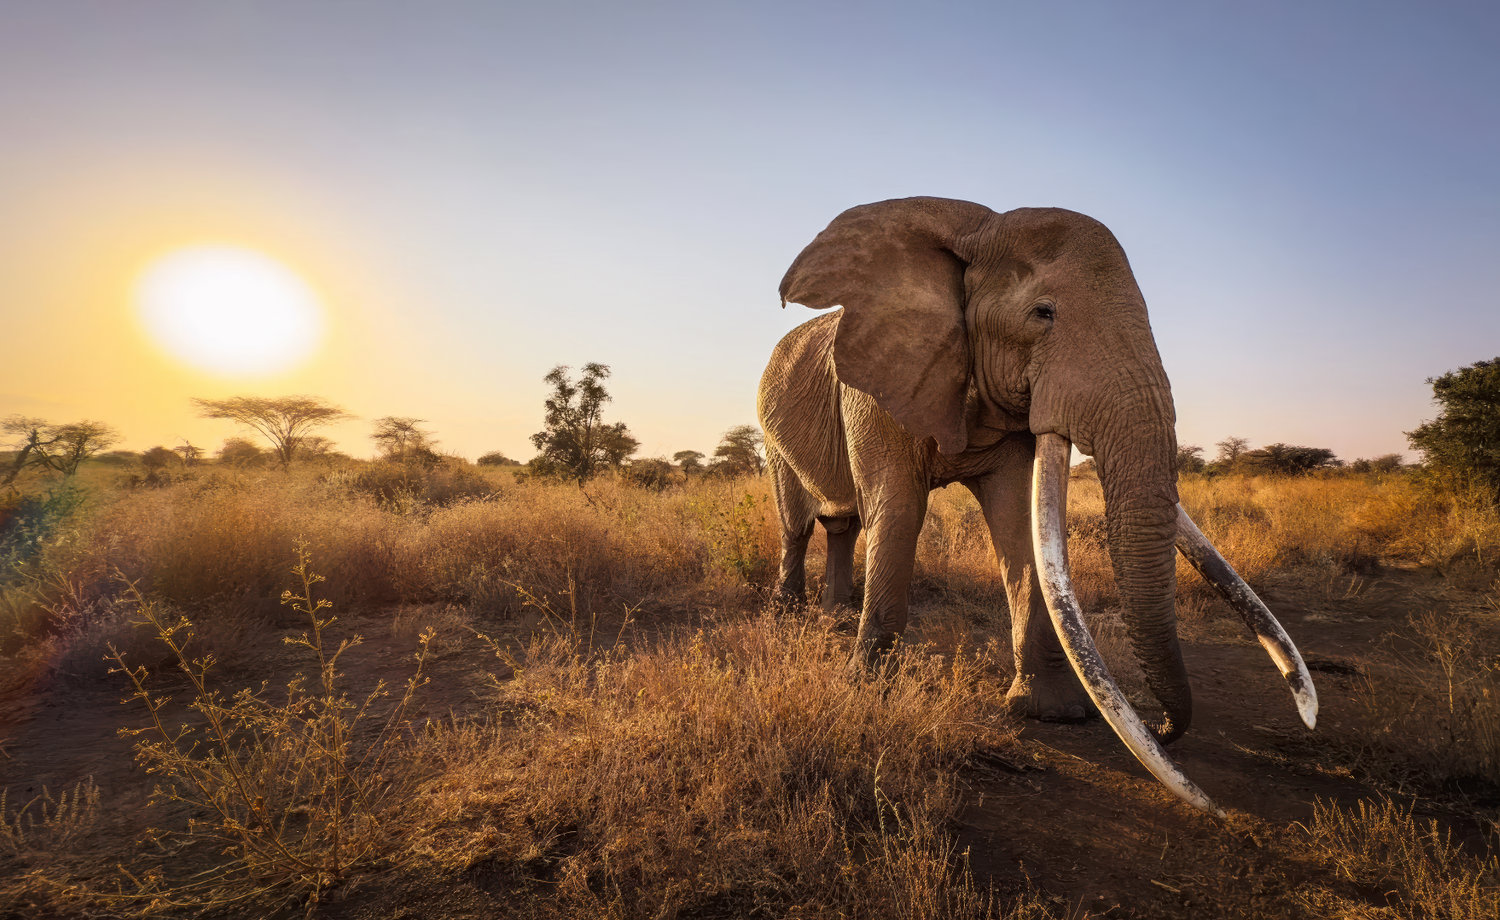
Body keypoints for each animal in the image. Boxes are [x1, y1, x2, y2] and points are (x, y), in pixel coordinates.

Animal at [758, 197, 1316, 815]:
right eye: (1042, 313)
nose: (1162, 727)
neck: (975, 229)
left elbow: (1017, 523)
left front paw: (1052, 714)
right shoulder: (877, 382)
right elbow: (898, 511)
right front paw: (868, 692)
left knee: (842, 525)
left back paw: (834, 616)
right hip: (770, 431)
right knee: (798, 524)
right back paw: (790, 615)